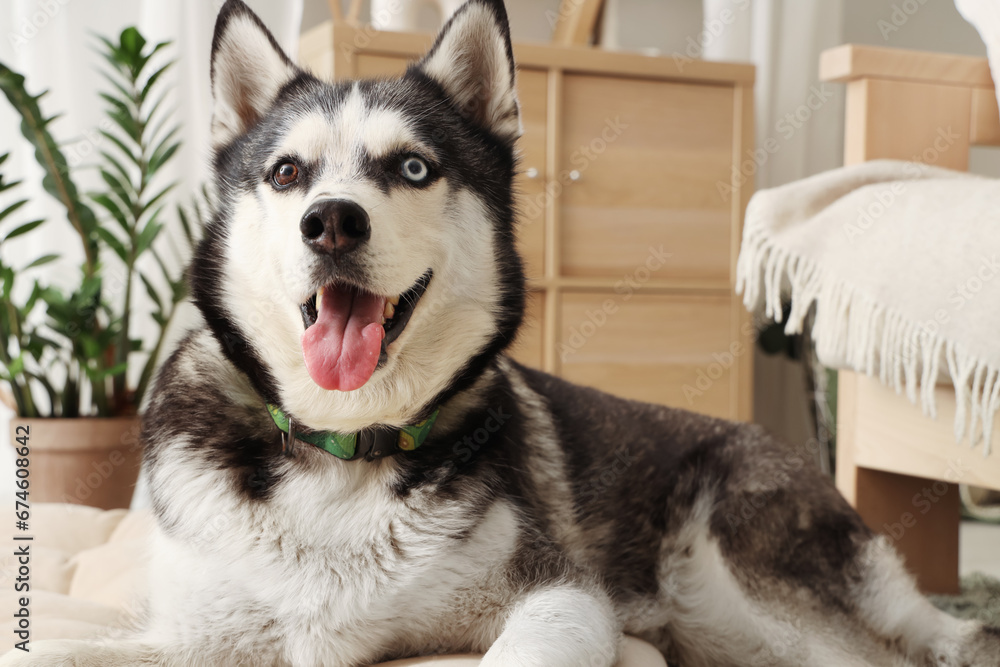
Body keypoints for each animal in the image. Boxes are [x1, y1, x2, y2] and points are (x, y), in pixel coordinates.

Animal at [3, 1, 996, 667]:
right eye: (285, 173)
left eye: (413, 167)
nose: (331, 222)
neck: (343, 447)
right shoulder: (192, 632)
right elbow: (57, 648)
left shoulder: (559, 593)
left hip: (741, 590)